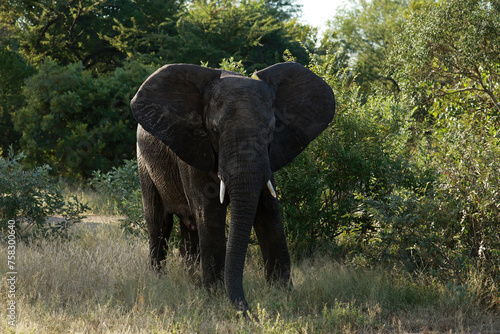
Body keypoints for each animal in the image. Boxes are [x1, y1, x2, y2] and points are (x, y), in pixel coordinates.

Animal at [131, 62, 336, 314]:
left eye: (271, 129)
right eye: (215, 130)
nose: (249, 311)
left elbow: (269, 213)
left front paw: (284, 295)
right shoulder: (195, 149)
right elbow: (209, 214)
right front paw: (214, 297)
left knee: (189, 228)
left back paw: (190, 280)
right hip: (143, 162)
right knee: (159, 222)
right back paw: (159, 280)